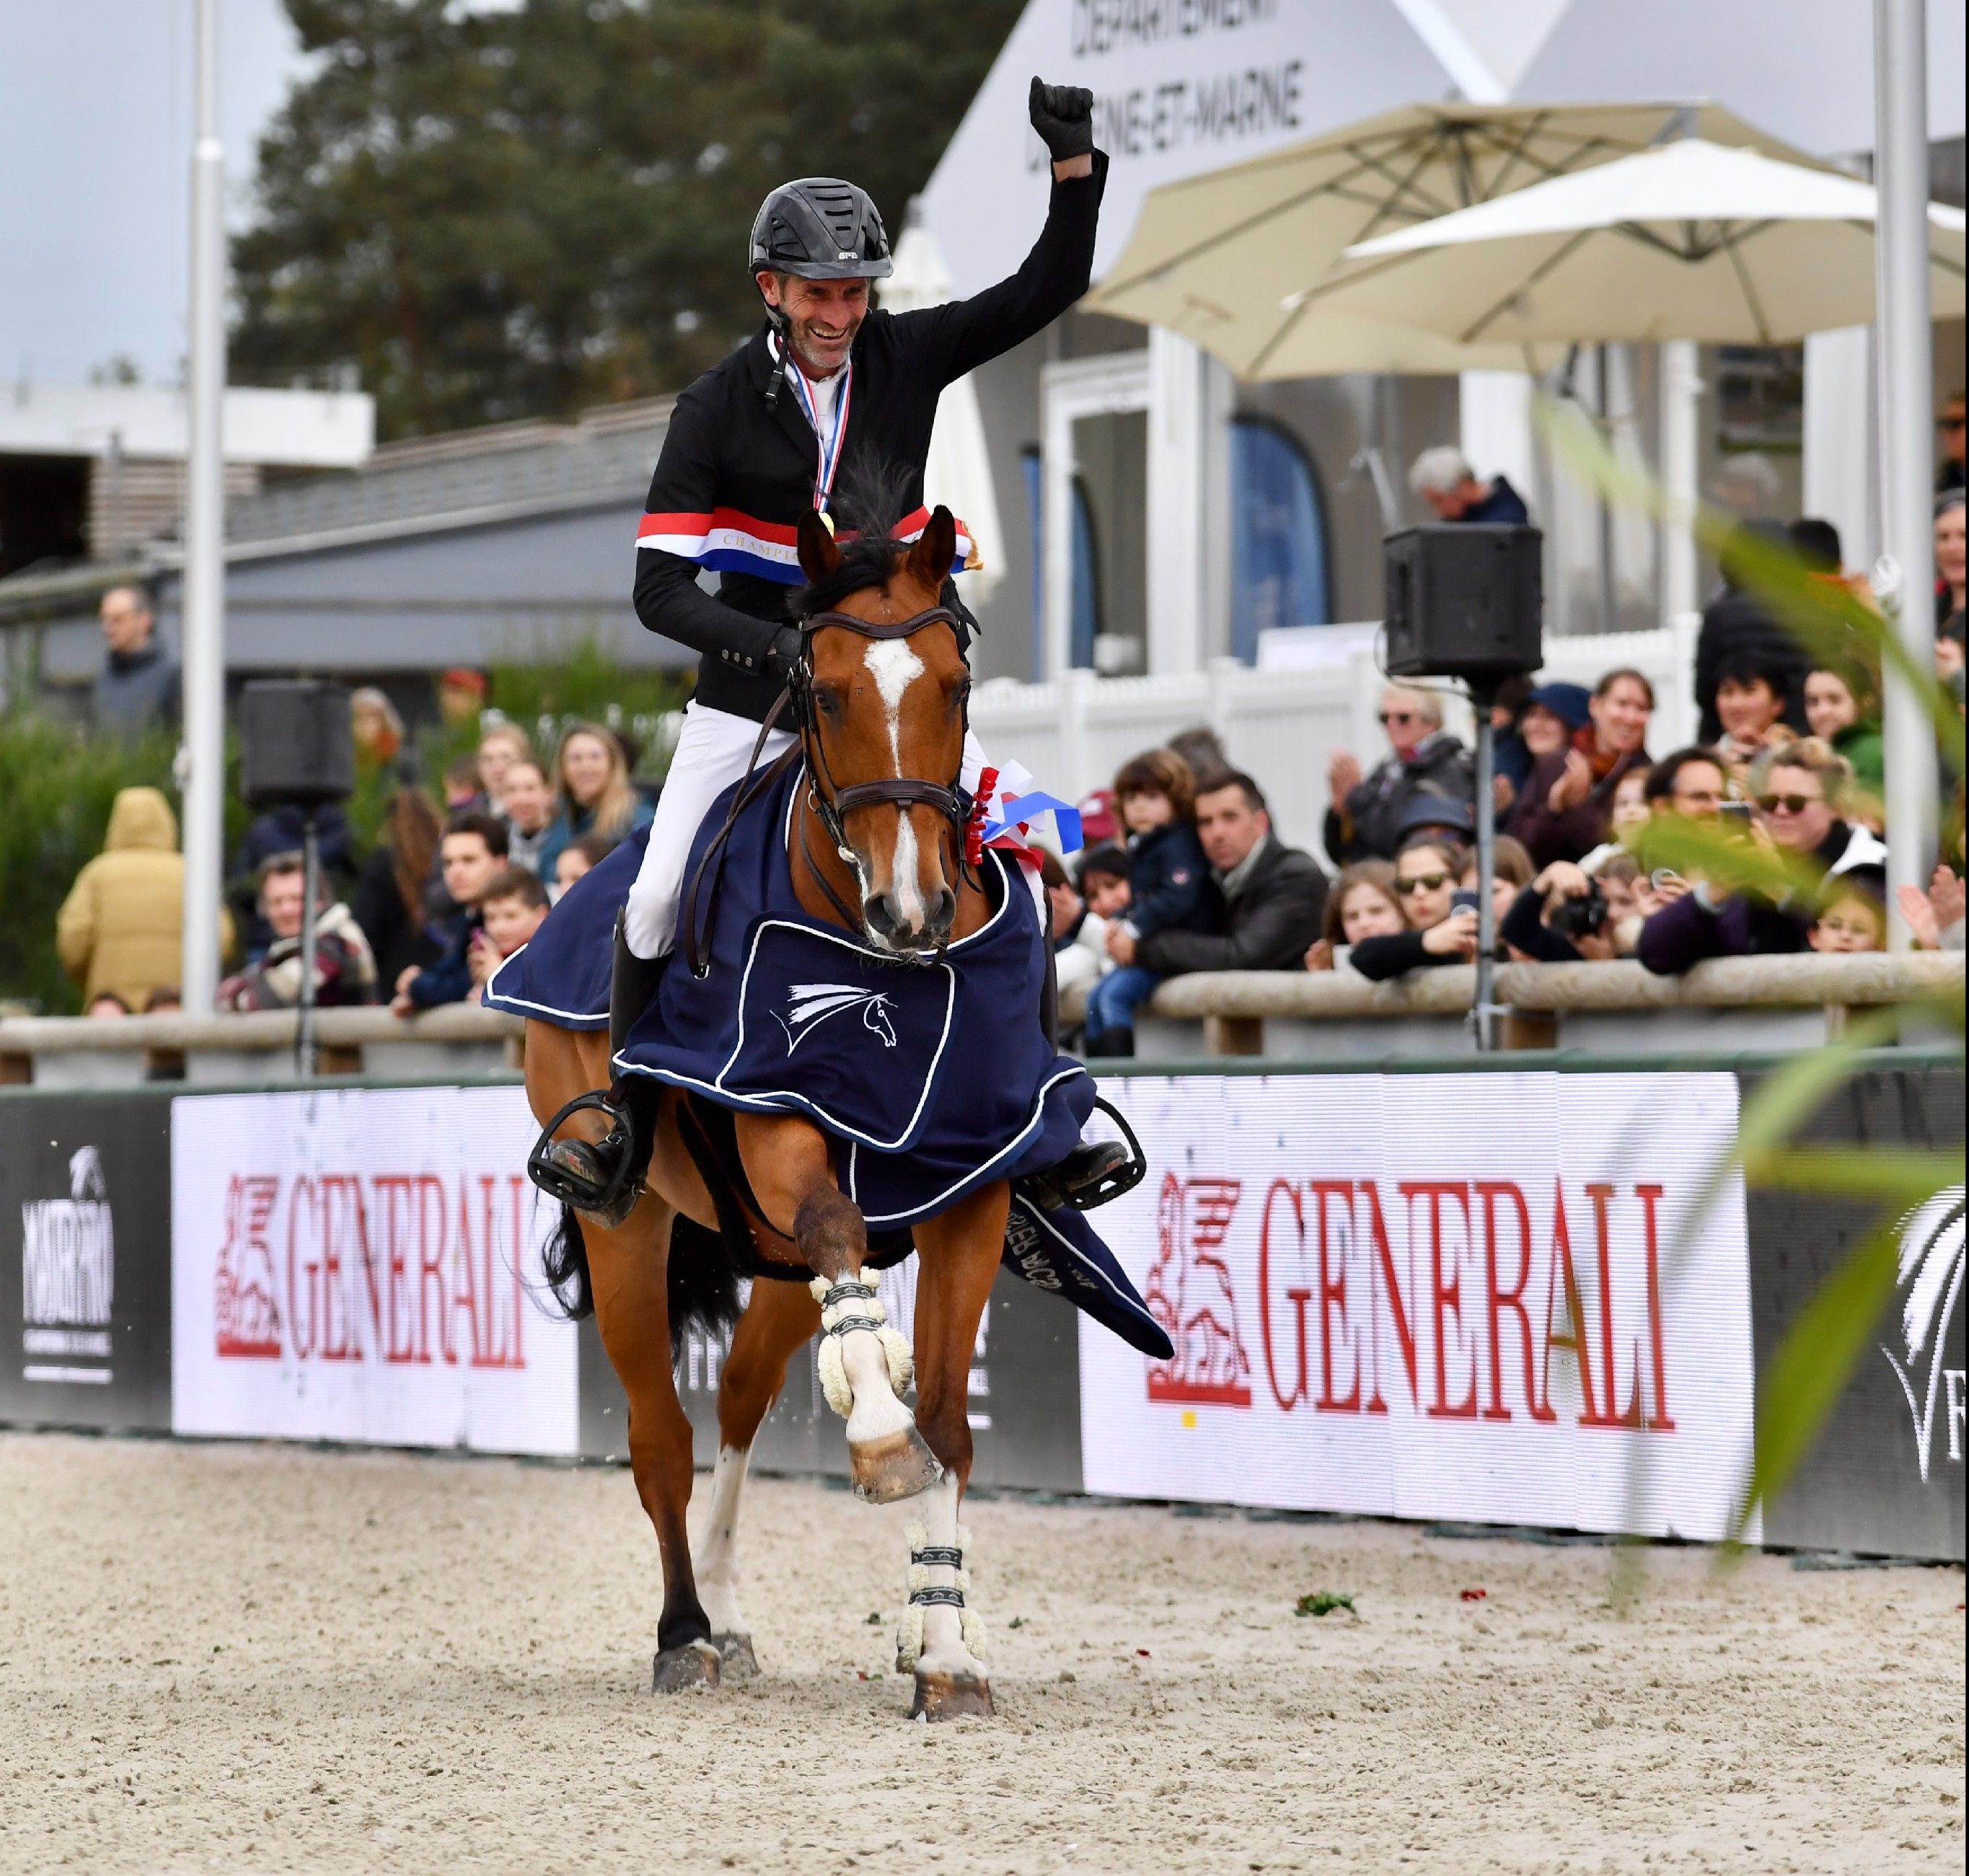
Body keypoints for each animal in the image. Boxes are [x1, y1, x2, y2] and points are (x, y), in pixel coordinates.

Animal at [527, 503, 1000, 1716]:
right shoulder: (782, 1136)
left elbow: (946, 1421)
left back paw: (735, 1617)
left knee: (741, 1398)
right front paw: (877, 1440)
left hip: (774, 1267)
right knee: (662, 1435)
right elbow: (865, 1319)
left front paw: (945, 1649)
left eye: (953, 687)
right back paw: (686, 1633)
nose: (910, 910)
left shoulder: (973, 1189)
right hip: (630, 1223)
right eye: (823, 693)